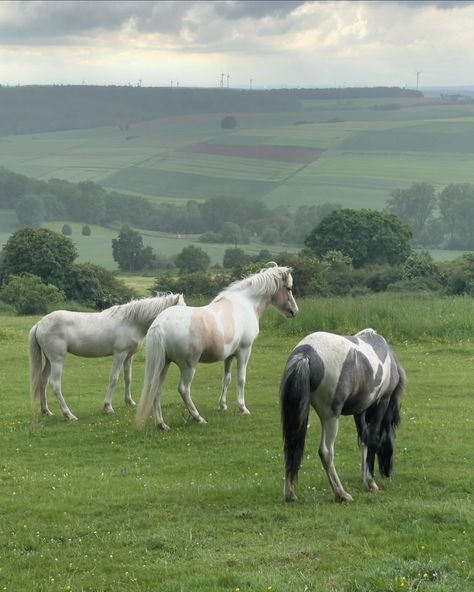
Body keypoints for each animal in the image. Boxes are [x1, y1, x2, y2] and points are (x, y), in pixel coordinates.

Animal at [28, 292, 185, 420]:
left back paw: (46, 411)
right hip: (57, 360)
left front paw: (129, 401)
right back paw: (69, 415)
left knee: (43, 381)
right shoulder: (119, 354)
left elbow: (128, 378)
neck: (131, 322)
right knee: (55, 385)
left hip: (49, 360)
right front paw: (108, 407)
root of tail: (40, 324)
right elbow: (113, 379)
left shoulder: (128, 356)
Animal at [135, 264, 298, 430]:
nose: (294, 311)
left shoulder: (229, 355)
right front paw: (242, 408)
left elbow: (226, 379)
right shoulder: (244, 351)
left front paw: (222, 406)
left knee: (156, 390)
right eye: (289, 288)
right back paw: (198, 418)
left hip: (164, 364)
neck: (246, 303)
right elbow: (241, 379)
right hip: (188, 366)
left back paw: (162, 424)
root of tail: (160, 324)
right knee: (184, 389)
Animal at [280, 330, 406, 502]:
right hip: (330, 418)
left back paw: (290, 494)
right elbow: (372, 439)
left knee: (290, 447)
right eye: (393, 440)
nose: (388, 472)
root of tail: (305, 354)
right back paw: (341, 494)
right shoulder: (382, 401)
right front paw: (370, 483)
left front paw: (364, 477)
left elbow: (363, 439)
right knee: (325, 451)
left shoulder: (360, 410)